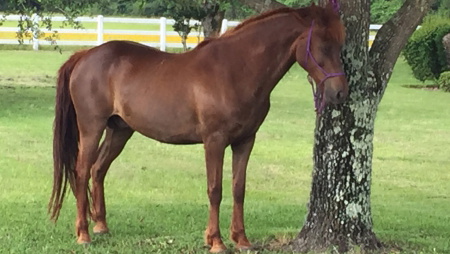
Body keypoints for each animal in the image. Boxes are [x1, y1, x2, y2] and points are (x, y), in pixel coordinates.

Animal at [49, 3, 346, 252]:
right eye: (323, 45)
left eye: (339, 45)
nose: (340, 92)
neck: (235, 70)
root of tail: (85, 55)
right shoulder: (214, 141)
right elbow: (215, 190)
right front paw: (216, 241)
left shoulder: (245, 141)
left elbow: (239, 188)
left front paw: (242, 239)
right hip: (92, 128)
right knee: (81, 171)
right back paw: (83, 233)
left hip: (120, 130)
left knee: (98, 170)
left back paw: (101, 226)